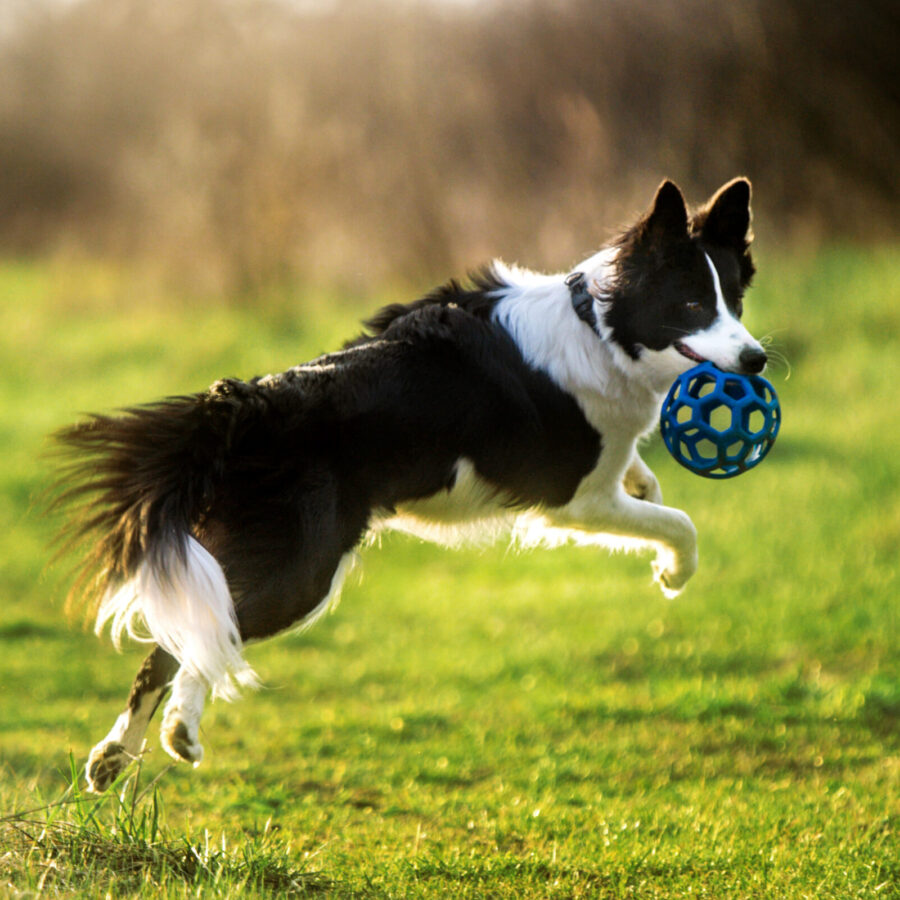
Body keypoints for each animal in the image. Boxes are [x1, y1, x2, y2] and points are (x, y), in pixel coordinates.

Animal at [58, 176, 768, 788]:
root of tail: (249, 403)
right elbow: (679, 523)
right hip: (301, 570)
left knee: (179, 637)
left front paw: (647, 484)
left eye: (735, 301)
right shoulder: (576, 499)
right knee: (205, 635)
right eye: (691, 305)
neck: (599, 324)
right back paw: (178, 730)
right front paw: (674, 572)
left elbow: (648, 490)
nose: (757, 359)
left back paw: (114, 755)